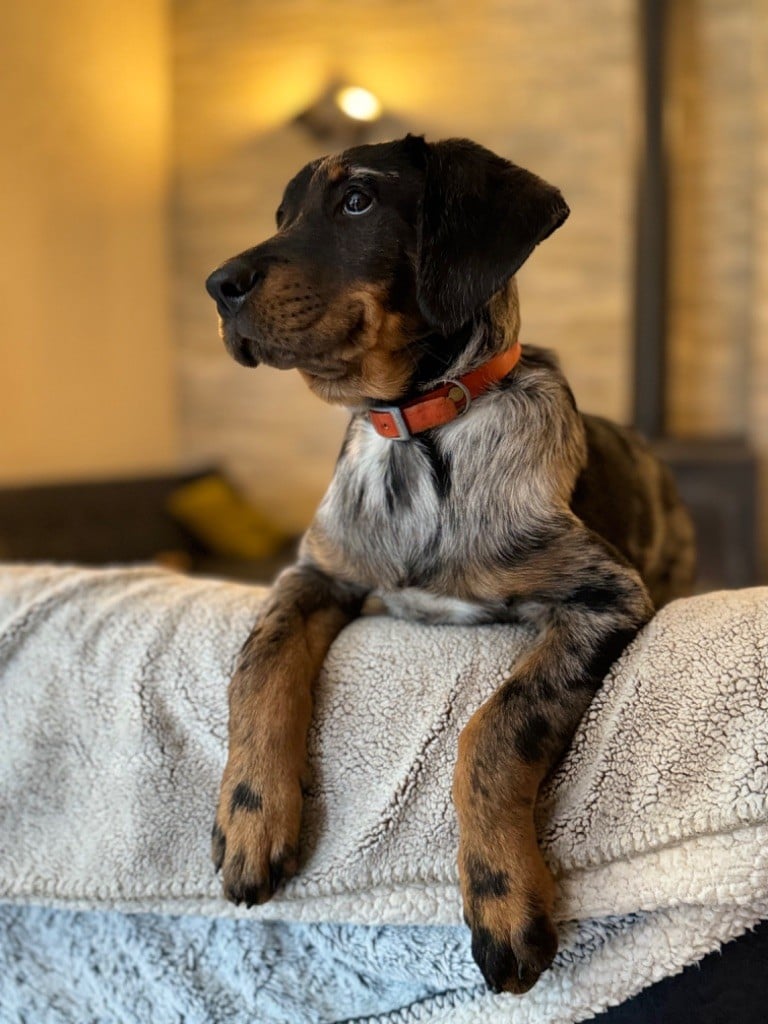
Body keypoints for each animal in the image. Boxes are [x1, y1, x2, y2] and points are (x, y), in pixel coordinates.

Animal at [204, 134, 695, 994]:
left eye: (358, 201)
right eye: (283, 215)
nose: (216, 287)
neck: (418, 433)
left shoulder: (604, 597)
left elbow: (493, 727)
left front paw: (501, 895)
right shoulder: (314, 574)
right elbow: (259, 664)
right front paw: (251, 815)